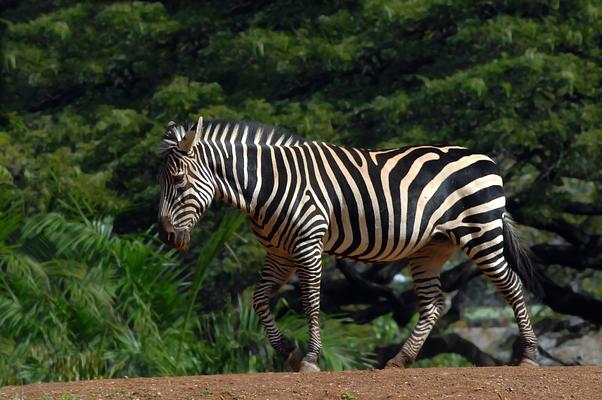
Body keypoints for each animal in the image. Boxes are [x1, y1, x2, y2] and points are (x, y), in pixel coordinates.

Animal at [157, 115, 536, 372]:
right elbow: (260, 300)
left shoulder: (307, 243)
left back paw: (529, 356)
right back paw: (400, 359)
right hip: (432, 247)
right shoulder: (279, 254)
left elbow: (310, 301)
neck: (266, 186)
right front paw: (289, 352)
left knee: (513, 285)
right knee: (433, 304)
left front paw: (310, 358)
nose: (165, 236)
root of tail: (483, 157)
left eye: (178, 180)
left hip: (481, 232)